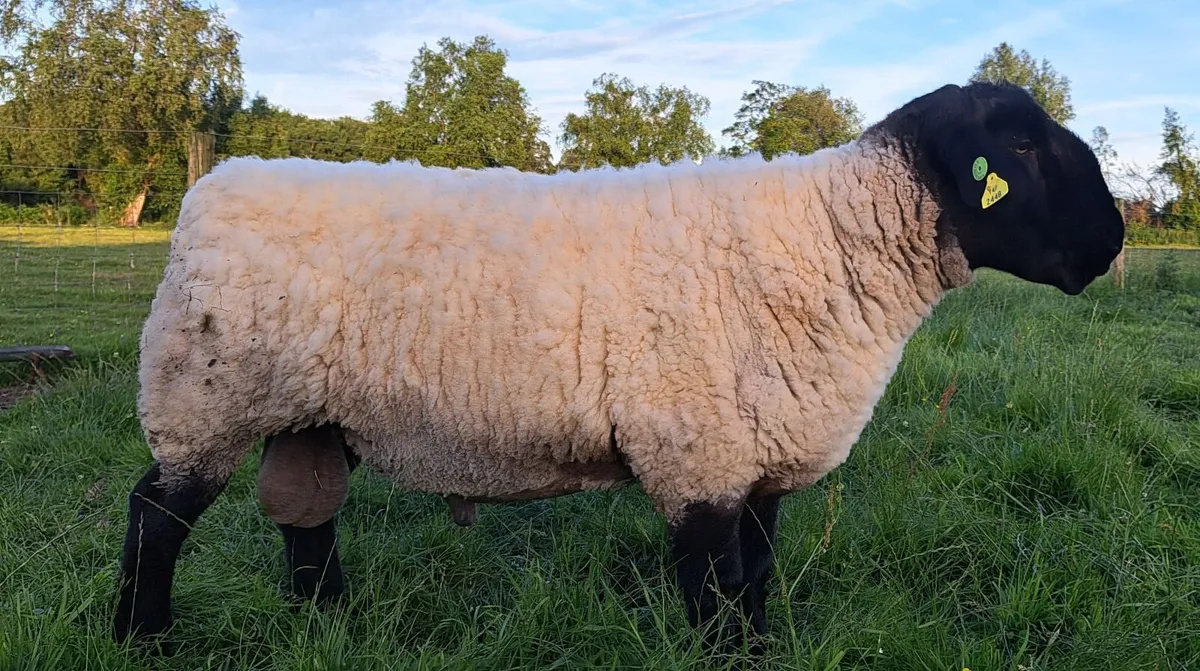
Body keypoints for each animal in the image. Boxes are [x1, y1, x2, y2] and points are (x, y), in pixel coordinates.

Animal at [112, 81, 1125, 654]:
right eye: (1020, 145)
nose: (1113, 241)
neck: (833, 239)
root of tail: (211, 187)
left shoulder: (751, 454)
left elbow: (757, 579)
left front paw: (760, 652)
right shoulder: (697, 450)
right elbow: (719, 592)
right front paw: (729, 655)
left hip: (306, 412)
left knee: (306, 518)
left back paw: (328, 623)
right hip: (204, 395)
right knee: (155, 515)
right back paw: (142, 637)